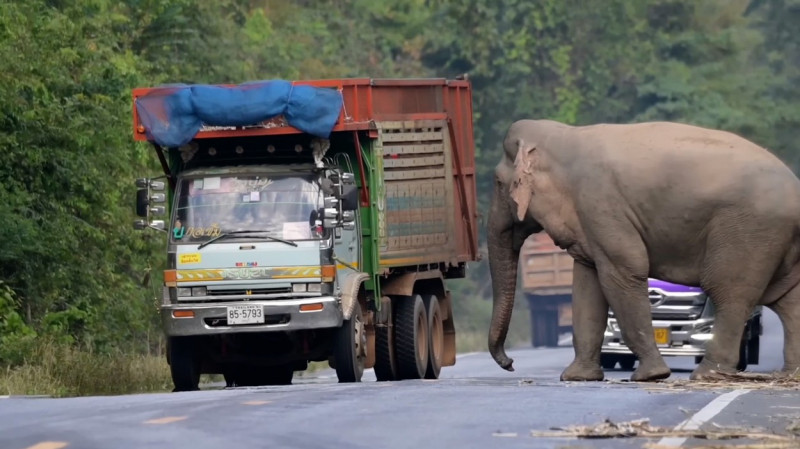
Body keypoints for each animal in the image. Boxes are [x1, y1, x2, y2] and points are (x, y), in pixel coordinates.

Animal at [484, 119, 800, 382]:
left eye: (498, 184)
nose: (510, 364)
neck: (564, 136)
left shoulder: (602, 205)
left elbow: (623, 272)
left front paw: (651, 376)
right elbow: (587, 285)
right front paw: (577, 377)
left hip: (750, 232)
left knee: (729, 294)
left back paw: (706, 375)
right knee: (788, 299)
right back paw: (788, 375)